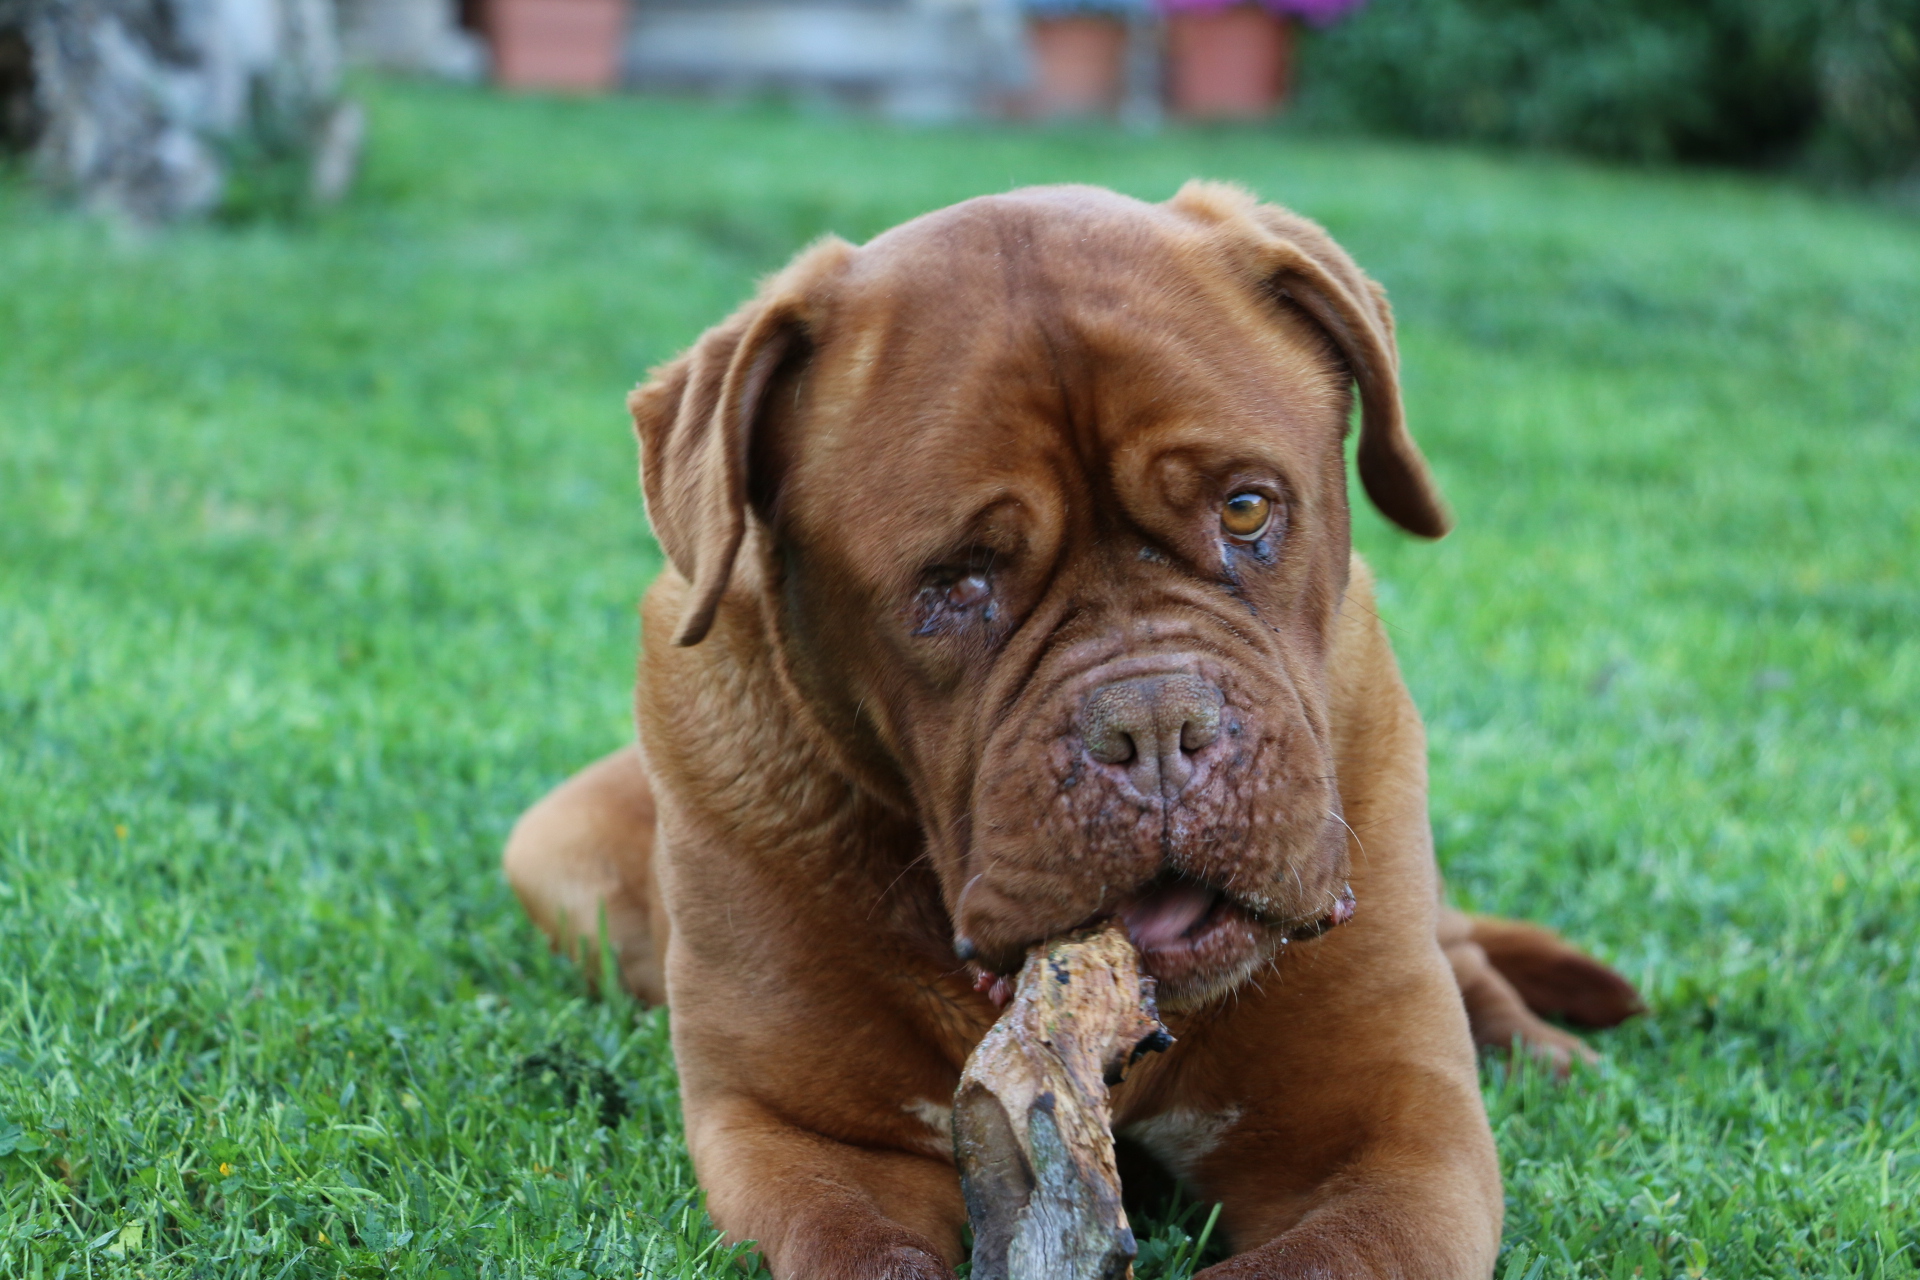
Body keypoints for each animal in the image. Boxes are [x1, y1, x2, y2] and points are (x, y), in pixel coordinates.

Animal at [506, 182, 1635, 1280]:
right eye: (956, 579)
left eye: (1246, 508)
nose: (1156, 725)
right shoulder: (806, 1132)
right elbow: (864, 1249)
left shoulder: (1389, 1135)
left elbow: (1314, 1253)